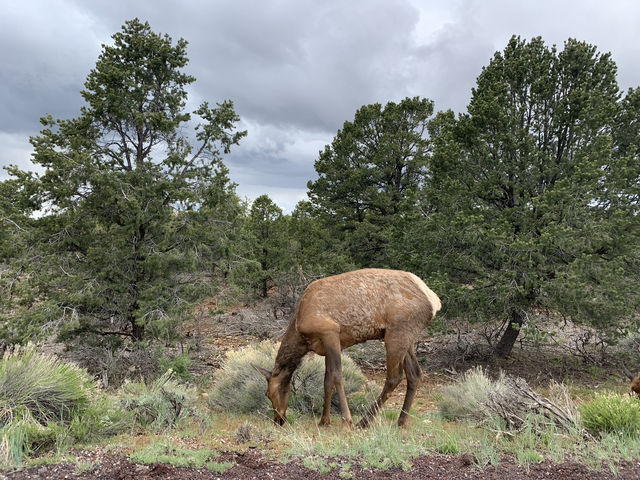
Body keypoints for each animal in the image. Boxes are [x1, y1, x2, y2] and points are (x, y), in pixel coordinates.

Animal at [254, 268, 440, 430]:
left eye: (268, 393)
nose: (278, 420)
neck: (301, 333)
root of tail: (434, 302)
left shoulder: (330, 332)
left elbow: (337, 376)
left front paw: (346, 420)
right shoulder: (324, 345)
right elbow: (327, 380)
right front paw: (324, 421)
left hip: (396, 333)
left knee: (395, 377)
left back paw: (363, 422)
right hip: (407, 337)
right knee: (415, 373)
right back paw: (401, 421)